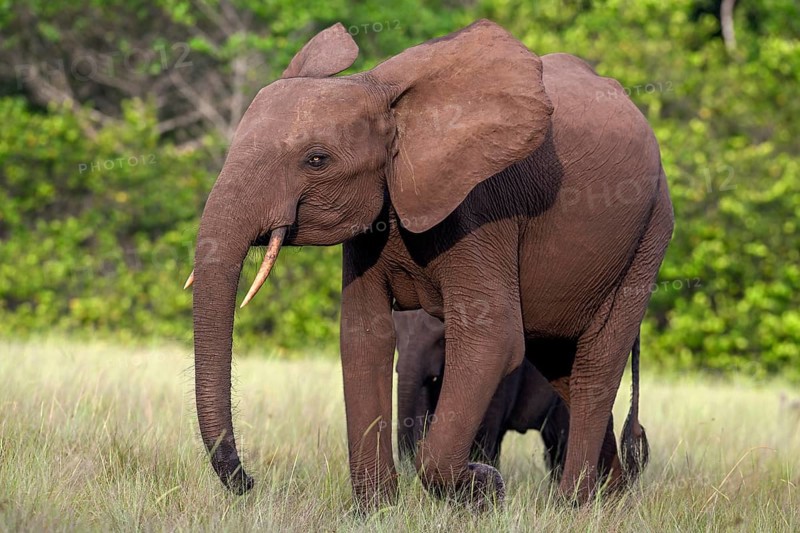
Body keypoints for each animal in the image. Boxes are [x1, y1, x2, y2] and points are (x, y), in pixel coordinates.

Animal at [185, 19, 673, 511]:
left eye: (316, 159)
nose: (250, 481)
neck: (380, 93)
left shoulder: (481, 205)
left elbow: (492, 338)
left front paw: (485, 488)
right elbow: (364, 336)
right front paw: (378, 510)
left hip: (650, 232)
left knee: (595, 366)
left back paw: (576, 505)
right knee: (563, 368)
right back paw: (611, 497)